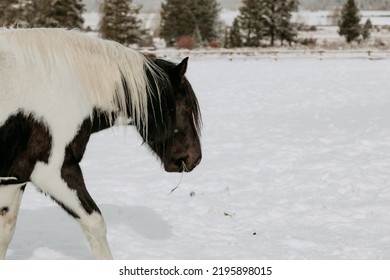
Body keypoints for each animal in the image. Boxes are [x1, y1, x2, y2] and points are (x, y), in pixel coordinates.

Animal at [0, 27, 201, 260]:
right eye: (185, 107)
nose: (195, 158)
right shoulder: (53, 173)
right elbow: (96, 224)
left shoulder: (14, 178)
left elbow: (5, 232)